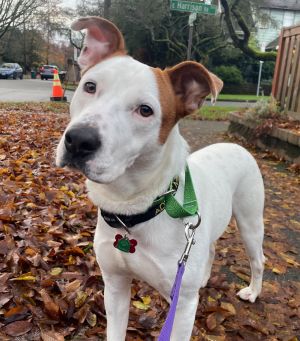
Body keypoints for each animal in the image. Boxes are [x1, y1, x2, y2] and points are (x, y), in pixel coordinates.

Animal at [56, 17, 264, 338]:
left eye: (145, 110)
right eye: (90, 86)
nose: (79, 141)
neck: (135, 207)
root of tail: (238, 146)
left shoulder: (182, 308)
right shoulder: (114, 286)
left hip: (251, 222)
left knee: (257, 259)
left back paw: (253, 291)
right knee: (211, 248)